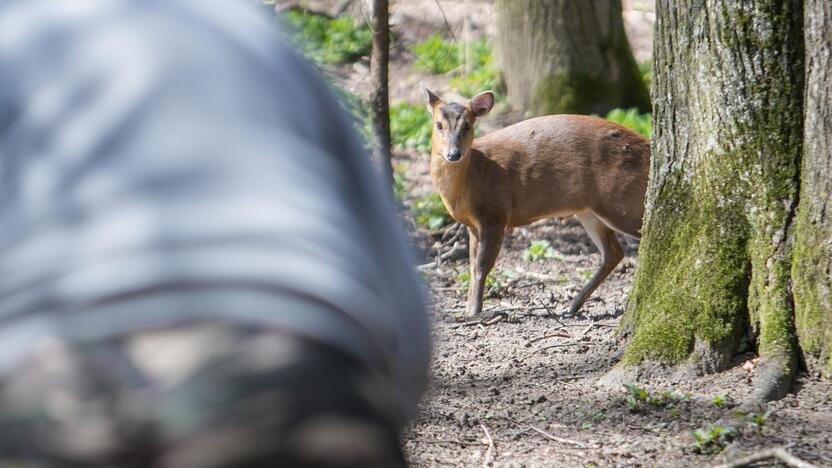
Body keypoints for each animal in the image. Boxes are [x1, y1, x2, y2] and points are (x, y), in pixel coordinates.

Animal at [426, 89, 652, 316]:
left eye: (467, 125)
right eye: (438, 124)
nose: (453, 154)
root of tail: (649, 148)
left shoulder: (495, 213)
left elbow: (482, 266)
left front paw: (475, 311)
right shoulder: (473, 224)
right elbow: (472, 266)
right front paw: (467, 309)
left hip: (620, 199)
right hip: (589, 210)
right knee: (613, 253)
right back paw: (572, 306)